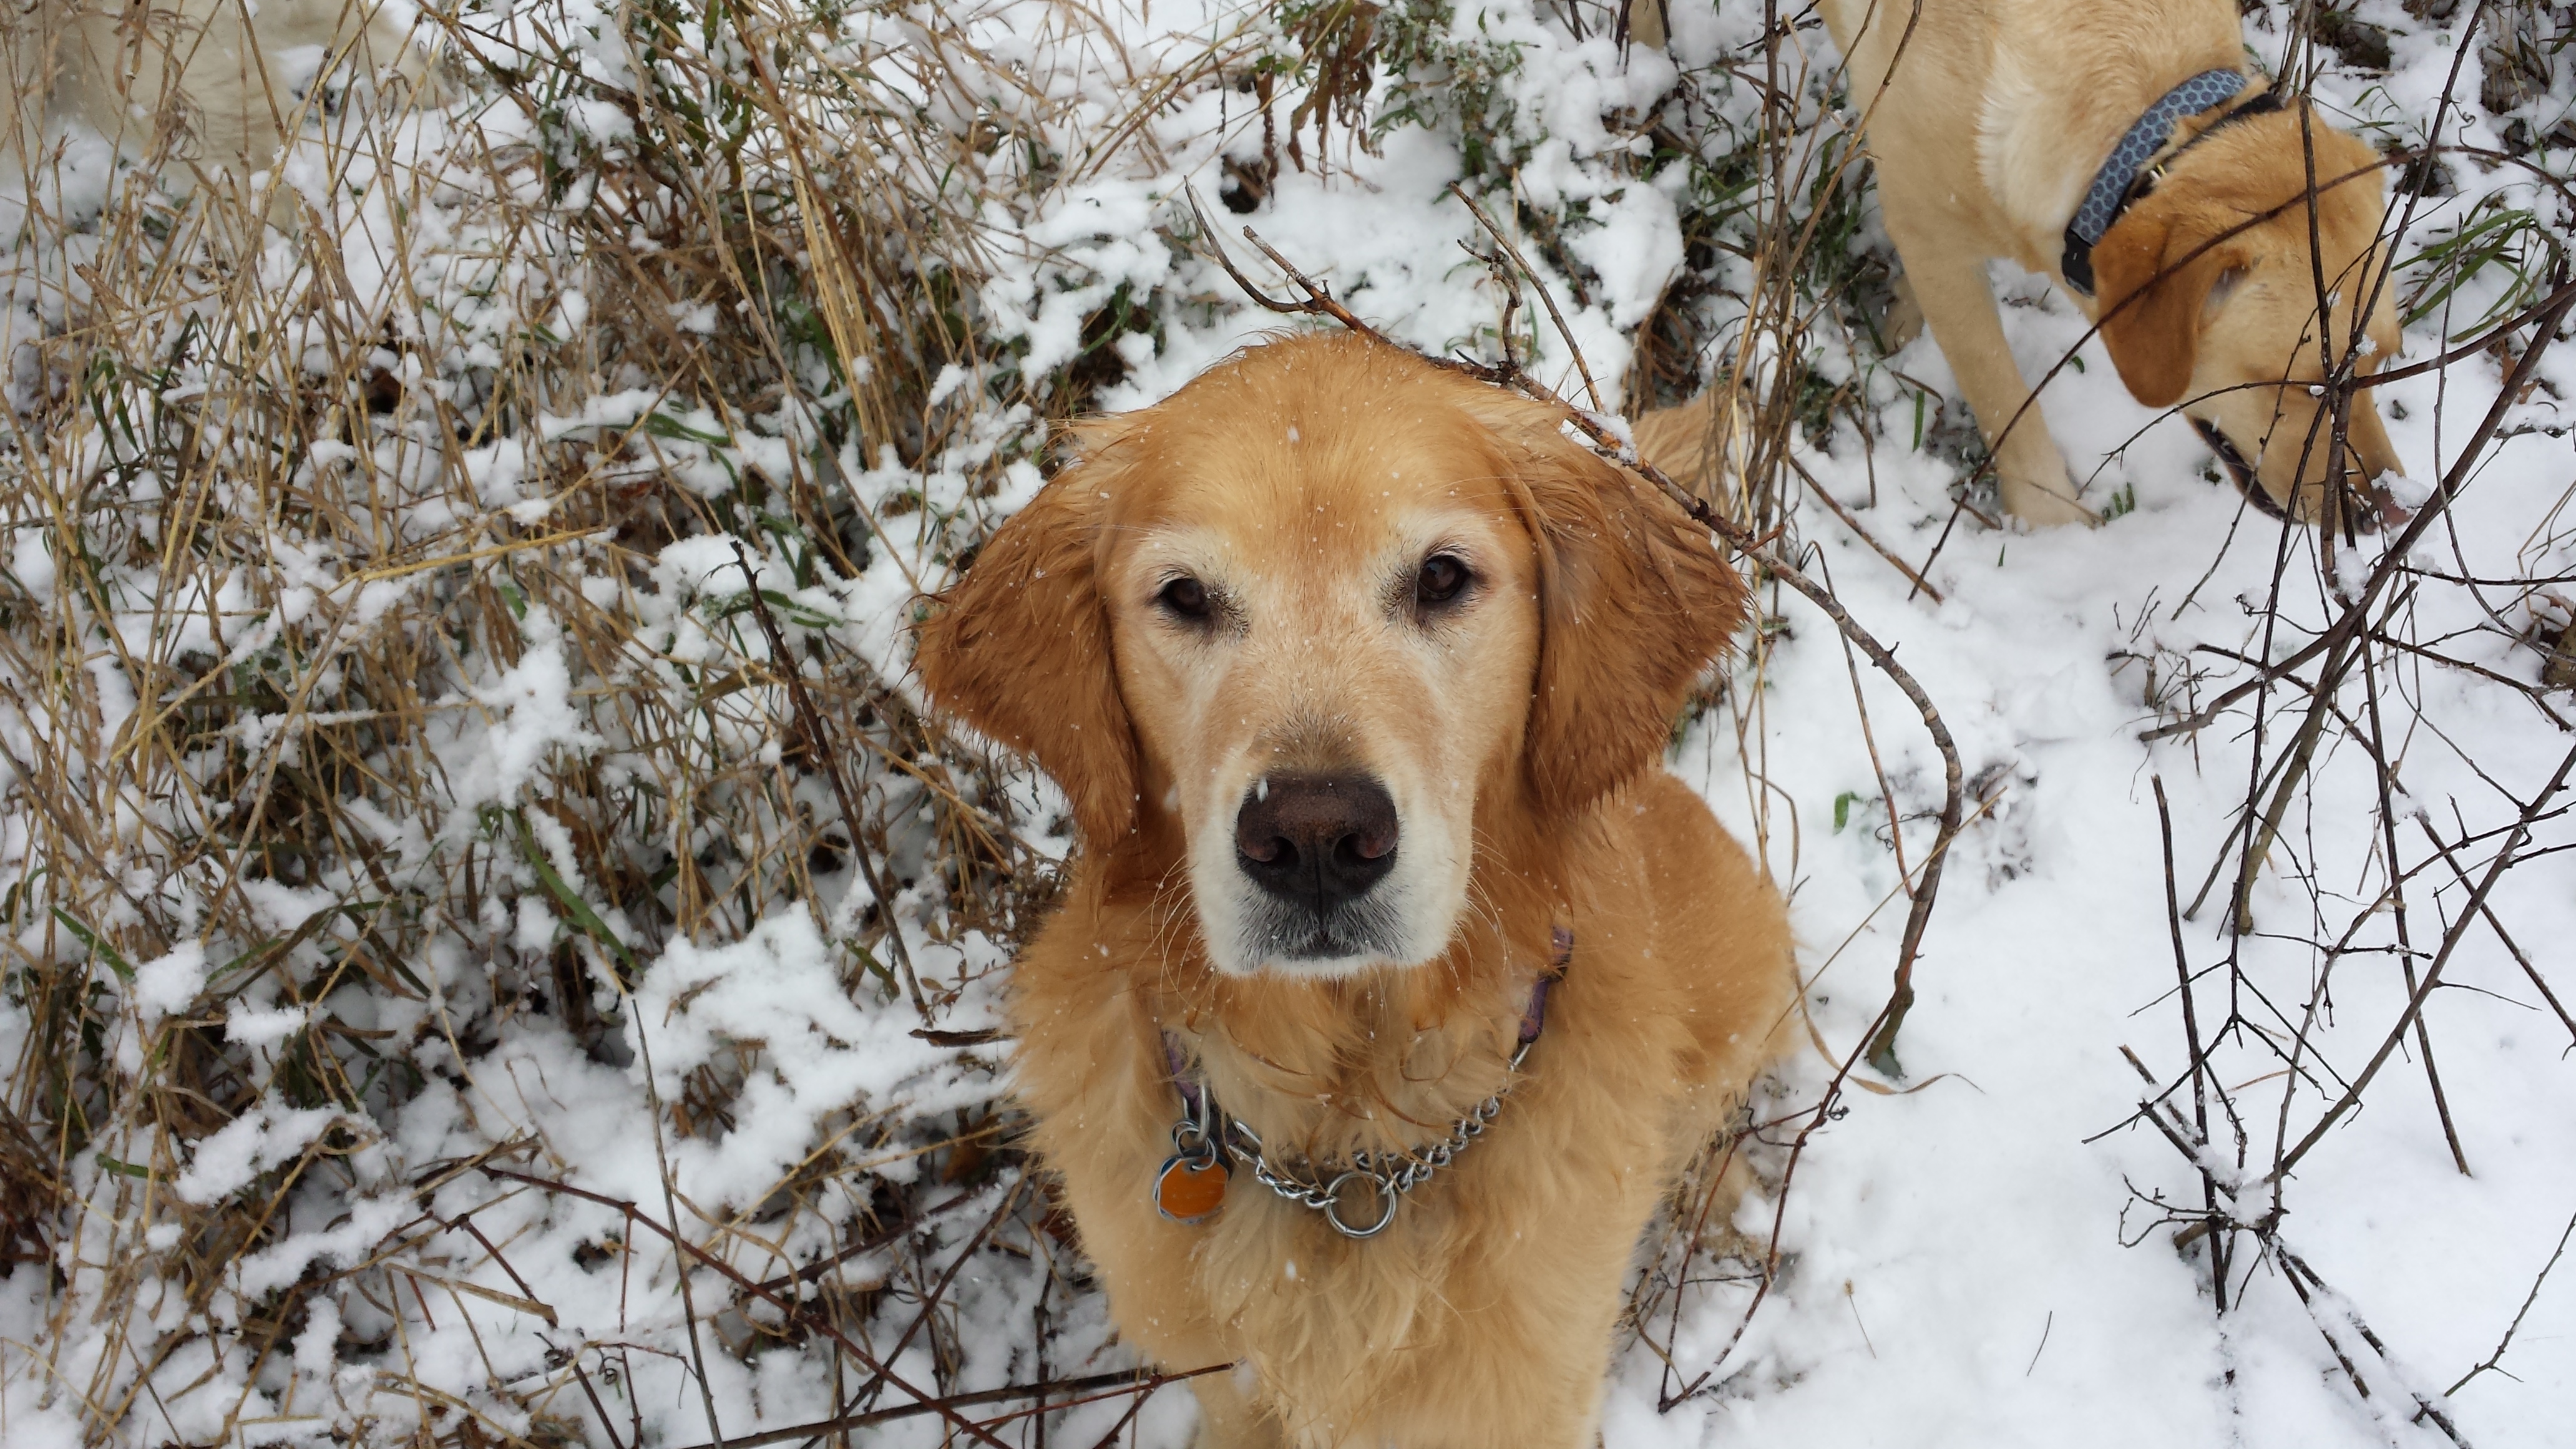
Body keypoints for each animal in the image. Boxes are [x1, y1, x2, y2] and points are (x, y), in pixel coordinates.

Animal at [916, 333, 1796, 1448]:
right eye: (1186, 597)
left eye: (1443, 577)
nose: (1316, 839)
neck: (1349, 1154)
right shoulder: (1227, 1381)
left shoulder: (1529, 1394)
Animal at [1817, 0, 2406, 526]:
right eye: (2300, 385)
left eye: (2380, 363)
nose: (2390, 513)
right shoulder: (1933, 229)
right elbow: (2003, 398)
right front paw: (2053, 522)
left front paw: (1904, 312)